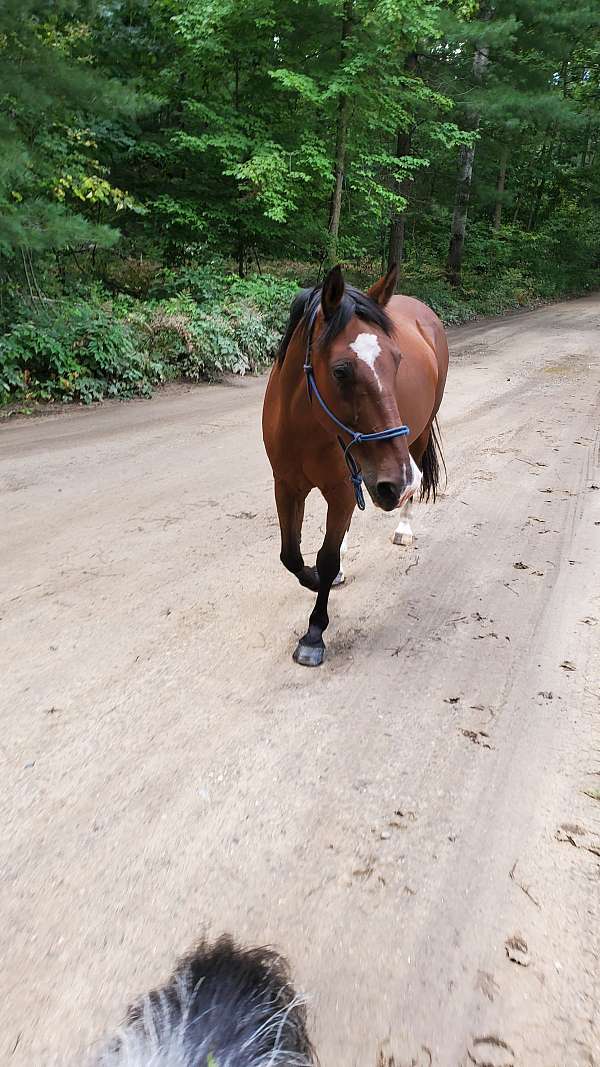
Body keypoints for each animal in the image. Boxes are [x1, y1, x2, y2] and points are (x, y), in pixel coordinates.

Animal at [259, 264, 446, 665]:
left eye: (397, 361)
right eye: (341, 371)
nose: (395, 482)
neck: (305, 424)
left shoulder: (343, 487)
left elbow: (325, 558)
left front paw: (314, 632)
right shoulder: (287, 485)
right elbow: (291, 555)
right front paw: (316, 577)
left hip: (417, 439)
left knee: (416, 480)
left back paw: (404, 528)